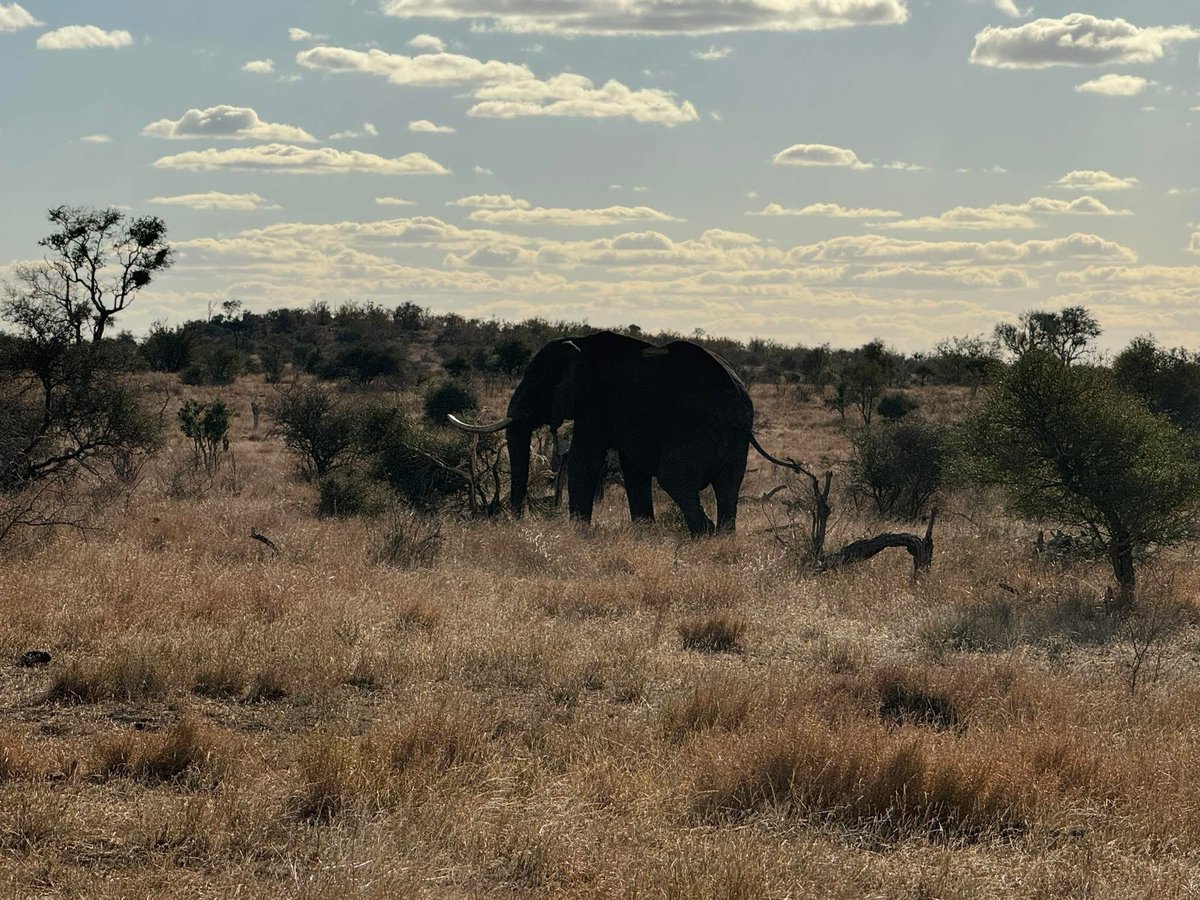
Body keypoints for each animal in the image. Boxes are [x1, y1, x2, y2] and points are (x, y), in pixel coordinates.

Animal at [450, 331, 772, 536]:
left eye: (535, 382)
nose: (515, 522)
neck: (579, 344)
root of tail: (741, 398)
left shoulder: (597, 403)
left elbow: (584, 460)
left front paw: (578, 533)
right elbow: (633, 469)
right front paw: (644, 532)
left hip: (695, 427)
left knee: (675, 479)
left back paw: (703, 535)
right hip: (732, 439)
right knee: (728, 485)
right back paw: (722, 538)